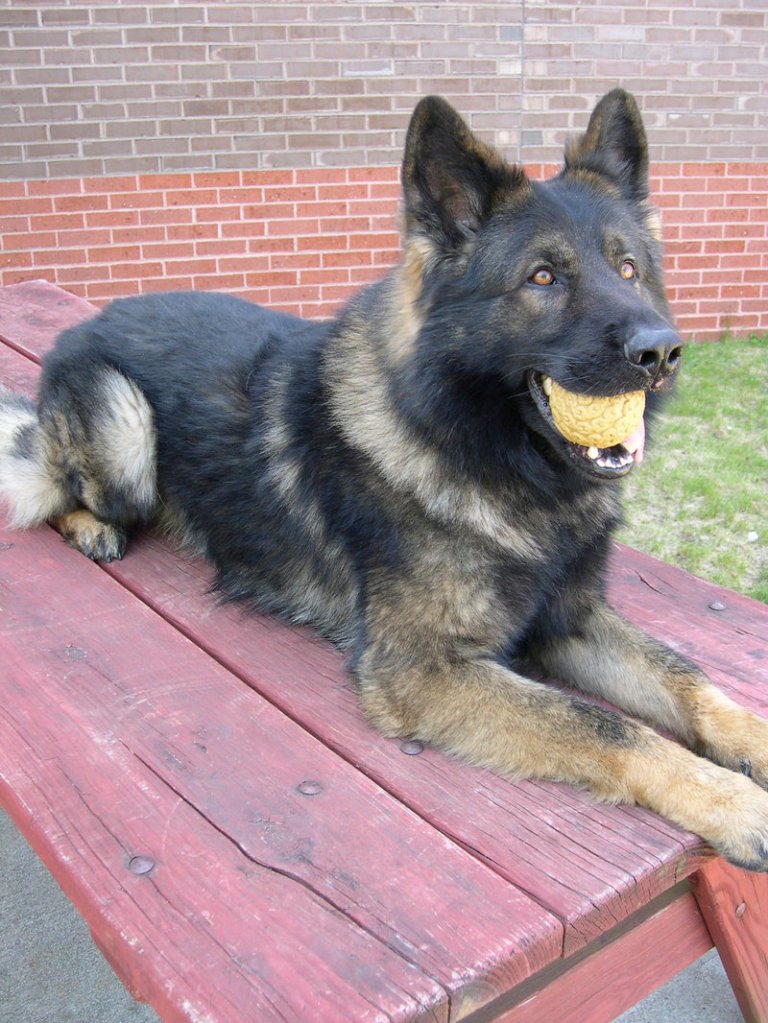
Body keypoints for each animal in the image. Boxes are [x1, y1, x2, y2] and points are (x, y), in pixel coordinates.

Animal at [4, 92, 768, 867]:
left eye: (630, 269)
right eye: (542, 278)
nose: (662, 351)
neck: (497, 462)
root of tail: (91, 318)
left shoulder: (570, 617)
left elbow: (685, 675)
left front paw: (752, 741)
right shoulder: (424, 670)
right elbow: (603, 724)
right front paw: (732, 800)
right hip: (124, 430)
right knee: (47, 483)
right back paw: (92, 528)